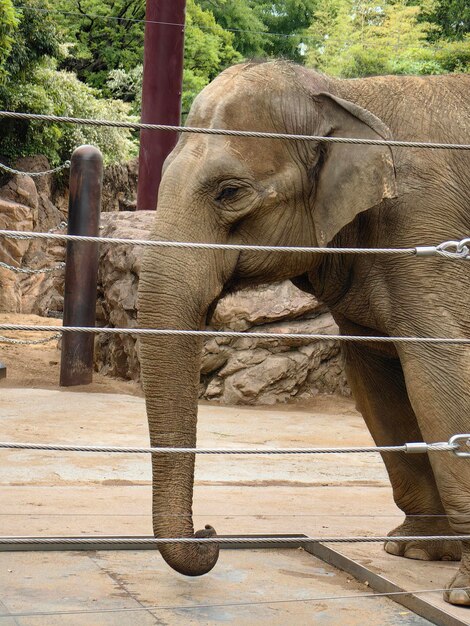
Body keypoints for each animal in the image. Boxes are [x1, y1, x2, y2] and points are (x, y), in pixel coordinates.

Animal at [137, 61, 470, 604]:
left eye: (229, 192)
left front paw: (460, 594)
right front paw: (414, 551)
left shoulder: (431, 231)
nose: (209, 532)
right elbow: (378, 384)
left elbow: (439, 378)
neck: (343, 95)